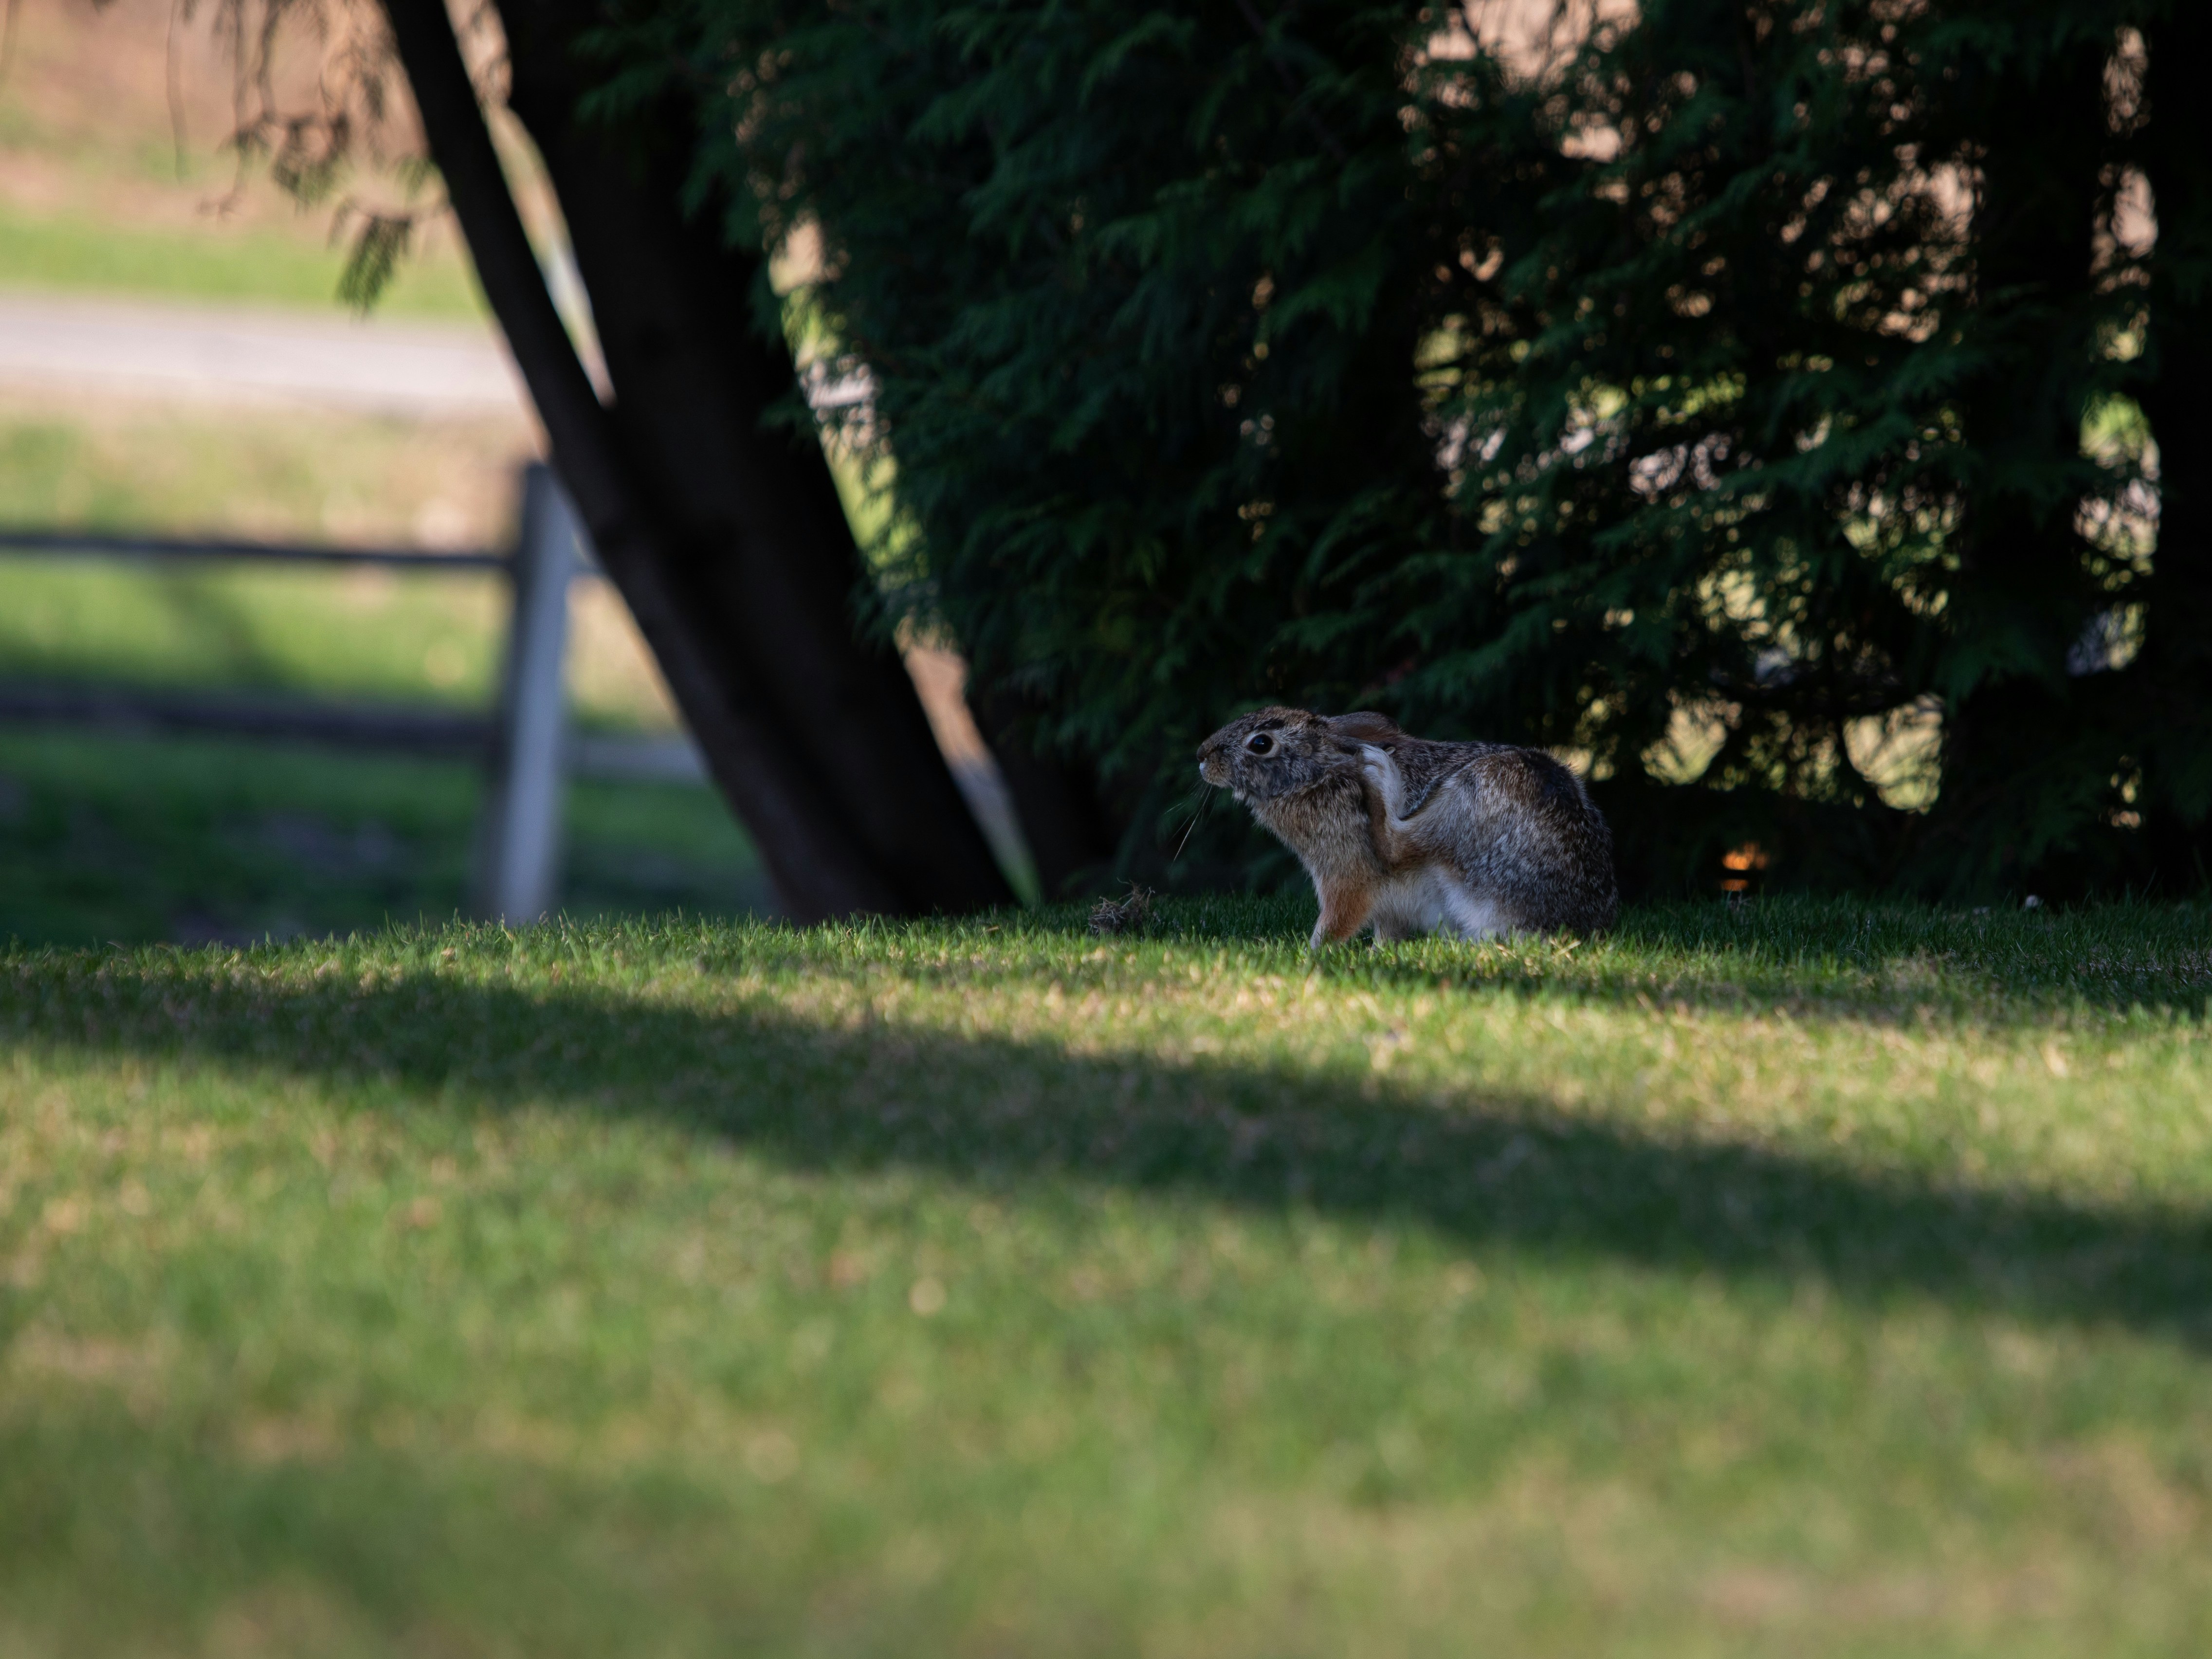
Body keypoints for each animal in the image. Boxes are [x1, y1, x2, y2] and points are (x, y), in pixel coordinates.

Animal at [1196, 707, 1618, 948]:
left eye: (1260, 743)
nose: (1202, 755)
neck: (1318, 775)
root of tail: (1574, 918)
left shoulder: (1345, 876)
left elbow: (1339, 916)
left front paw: (1312, 952)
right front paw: (1379, 952)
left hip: (1472, 800)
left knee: (1400, 843)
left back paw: (1379, 772)